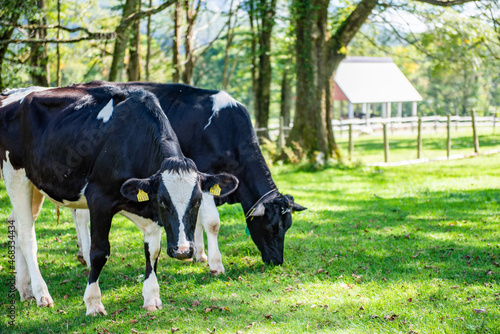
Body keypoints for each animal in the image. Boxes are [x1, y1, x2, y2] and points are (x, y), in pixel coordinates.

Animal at [0, 85, 238, 314]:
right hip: (15, 174)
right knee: (27, 235)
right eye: (163, 201)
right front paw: (93, 303)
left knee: (16, 224)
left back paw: (24, 289)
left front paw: (151, 298)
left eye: (197, 201)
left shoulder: (150, 210)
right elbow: (99, 252)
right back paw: (41, 293)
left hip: (35, 185)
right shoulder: (99, 199)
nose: (183, 251)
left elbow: (153, 250)